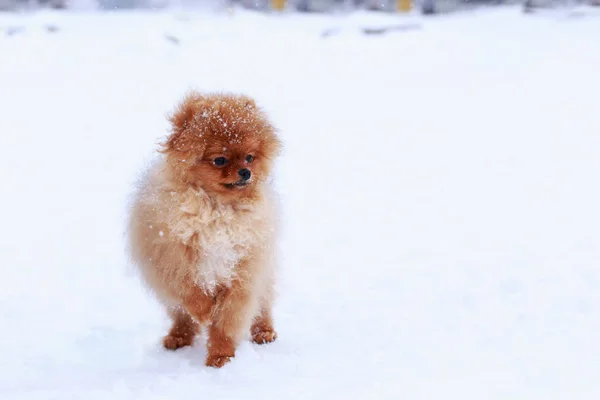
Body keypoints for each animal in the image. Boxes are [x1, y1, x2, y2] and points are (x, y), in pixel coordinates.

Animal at [125, 92, 284, 368]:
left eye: (249, 157)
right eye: (219, 160)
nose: (246, 172)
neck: (215, 209)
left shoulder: (243, 273)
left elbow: (227, 321)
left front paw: (220, 358)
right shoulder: (171, 260)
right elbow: (190, 293)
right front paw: (206, 312)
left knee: (263, 304)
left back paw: (263, 331)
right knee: (181, 314)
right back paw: (178, 337)